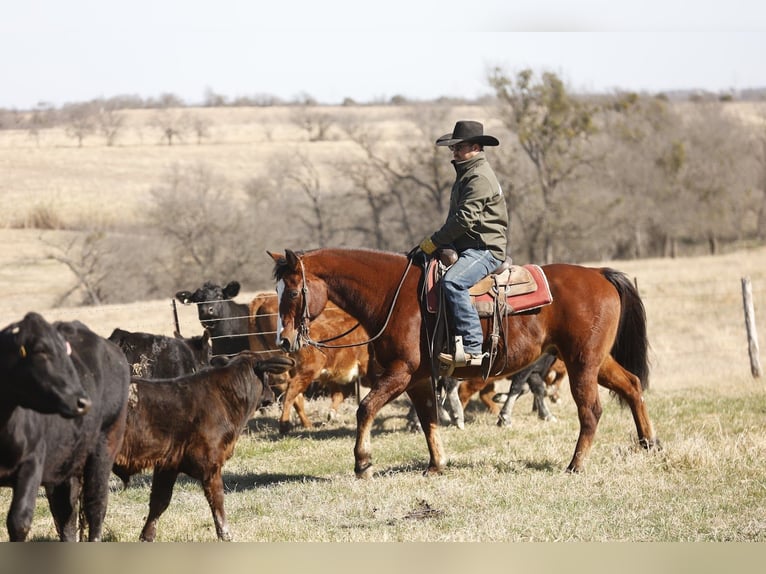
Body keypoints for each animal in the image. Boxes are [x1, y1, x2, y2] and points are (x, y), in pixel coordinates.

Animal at [270, 248, 658, 477]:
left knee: (591, 411)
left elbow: (365, 408)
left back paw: (575, 464)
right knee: (632, 386)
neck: (394, 295)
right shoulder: (419, 379)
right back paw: (649, 444)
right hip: (596, 362)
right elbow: (429, 420)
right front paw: (436, 465)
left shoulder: (400, 373)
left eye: (293, 291)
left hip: (581, 364)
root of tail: (599, 273)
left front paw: (362, 463)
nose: (284, 340)